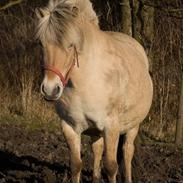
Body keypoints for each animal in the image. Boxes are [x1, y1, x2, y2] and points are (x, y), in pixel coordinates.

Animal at [35, 0, 153, 183]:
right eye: (41, 43)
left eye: (70, 45)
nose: (50, 90)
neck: (85, 81)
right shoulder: (69, 127)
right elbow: (76, 164)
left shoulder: (111, 128)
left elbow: (111, 167)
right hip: (96, 130)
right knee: (97, 148)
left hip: (133, 126)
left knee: (127, 152)